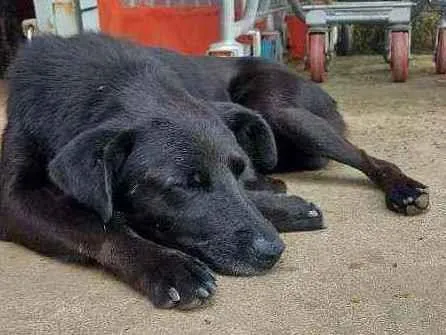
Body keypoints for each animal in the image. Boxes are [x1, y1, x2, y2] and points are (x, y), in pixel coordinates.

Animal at [0, 32, 428, 312]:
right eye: (184, 185)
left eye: (235, 170)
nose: (273, 252)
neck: (106, 84)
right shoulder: (13, 199)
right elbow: (97, 226)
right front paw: (168, 266)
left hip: (281, 111)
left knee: (369, 158)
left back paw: (402, 189)